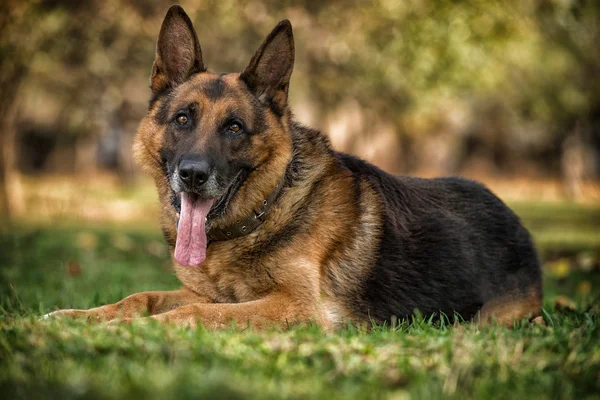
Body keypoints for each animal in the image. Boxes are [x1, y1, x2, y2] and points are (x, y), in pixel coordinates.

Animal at [48, 6, 544, 330]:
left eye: (234, 127)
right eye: (183, 119)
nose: (192, 175)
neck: (261, 215)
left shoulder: (296, 307)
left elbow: (191, 312)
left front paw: (128, 330)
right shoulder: (211, 292)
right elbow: (140, 296)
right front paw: (70, 318)